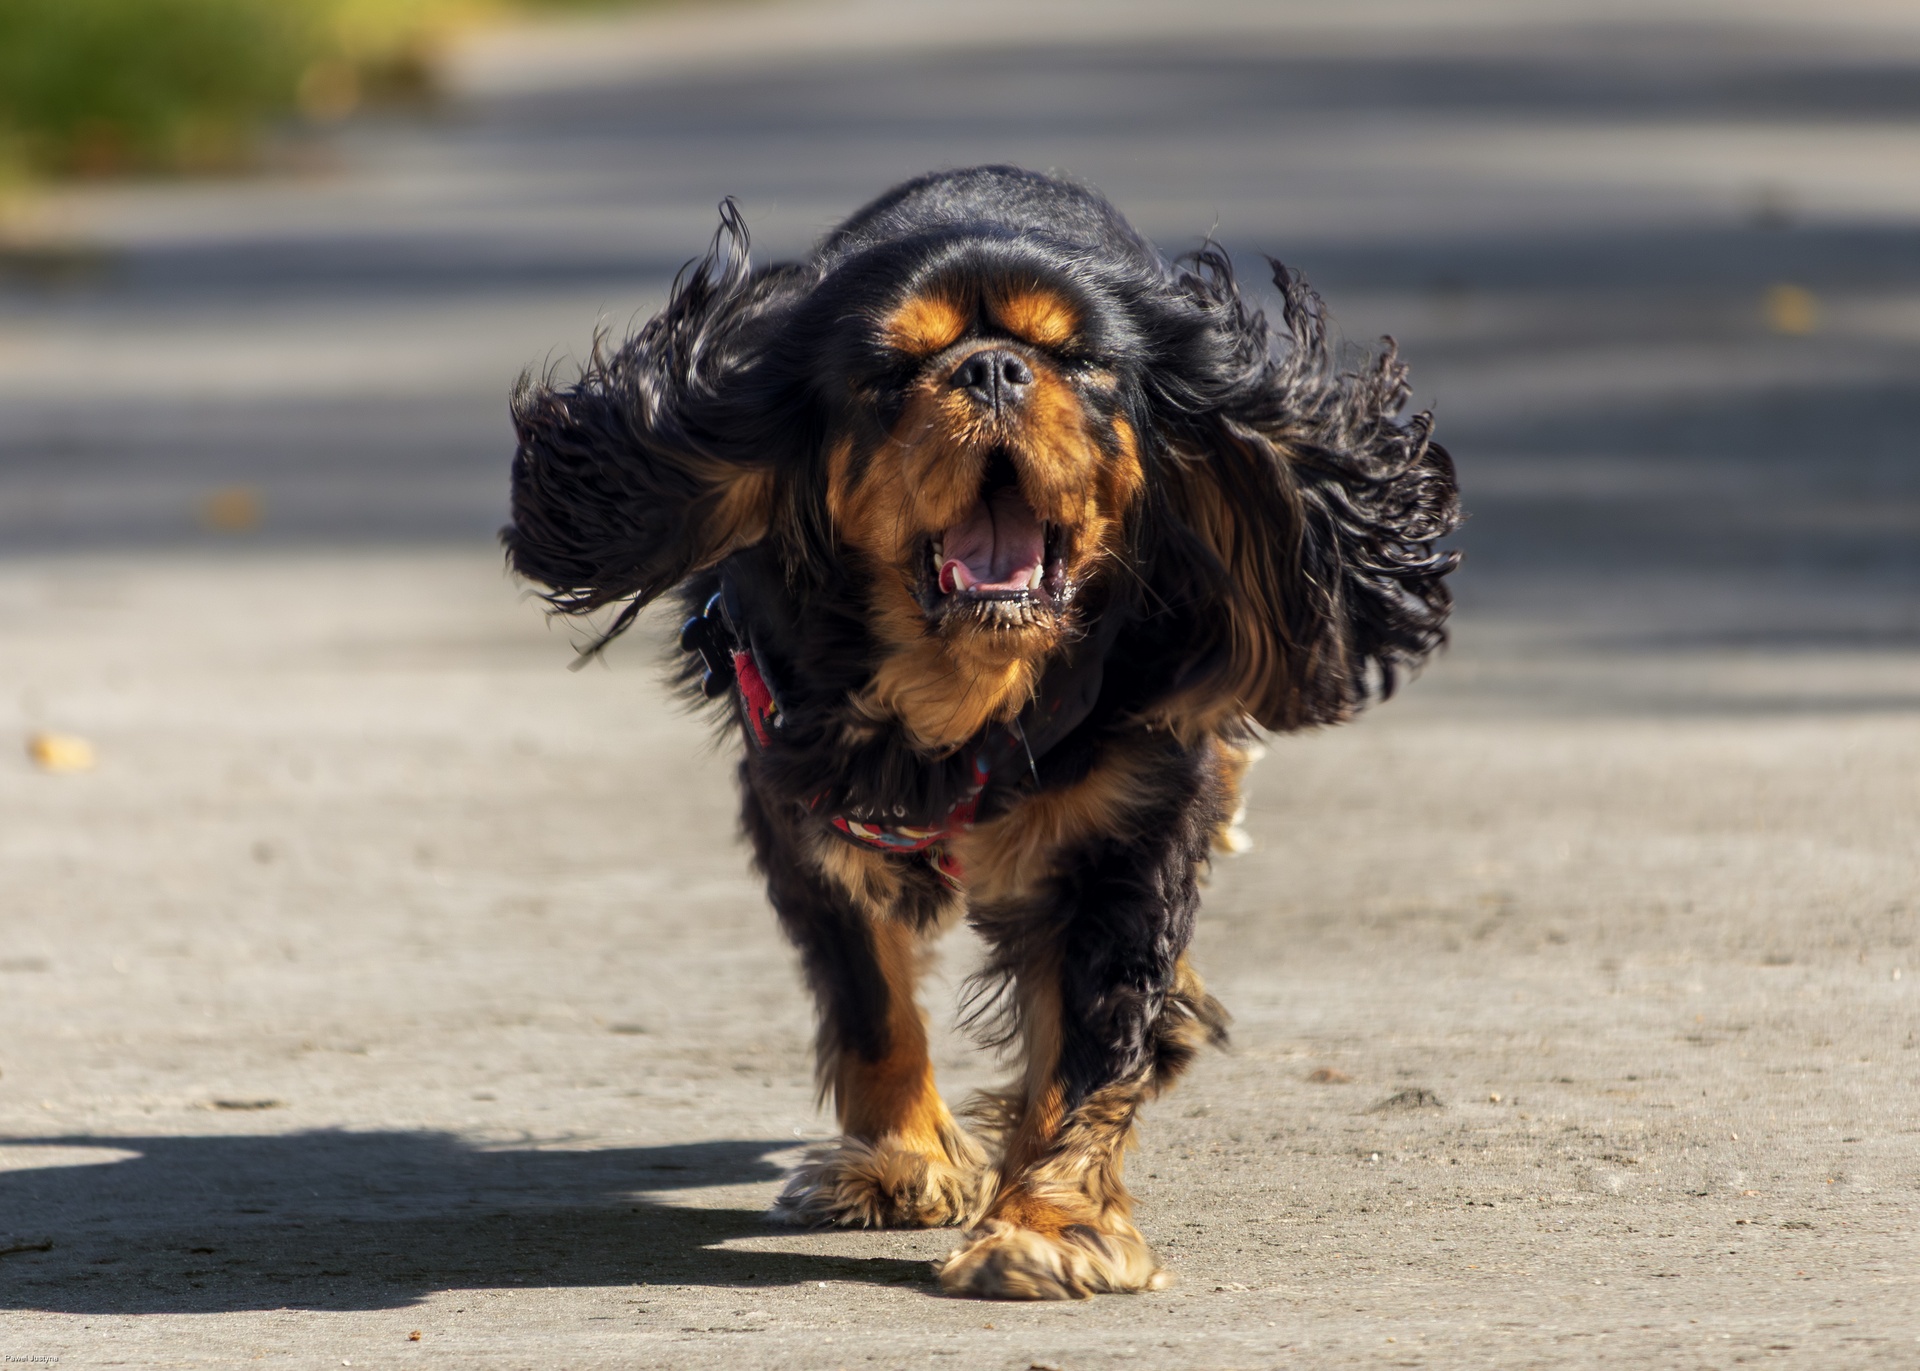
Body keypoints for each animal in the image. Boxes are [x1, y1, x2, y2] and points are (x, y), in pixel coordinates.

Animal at [504, 166, 1458, 1299]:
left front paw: (1050, 1225)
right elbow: (871, 1004)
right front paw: (905, 1162)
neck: (967, 688)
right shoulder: (809, 815)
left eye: (1081, 361)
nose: (994, 368)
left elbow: (1087, 1043)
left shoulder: (1126, 835)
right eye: (890, 371)